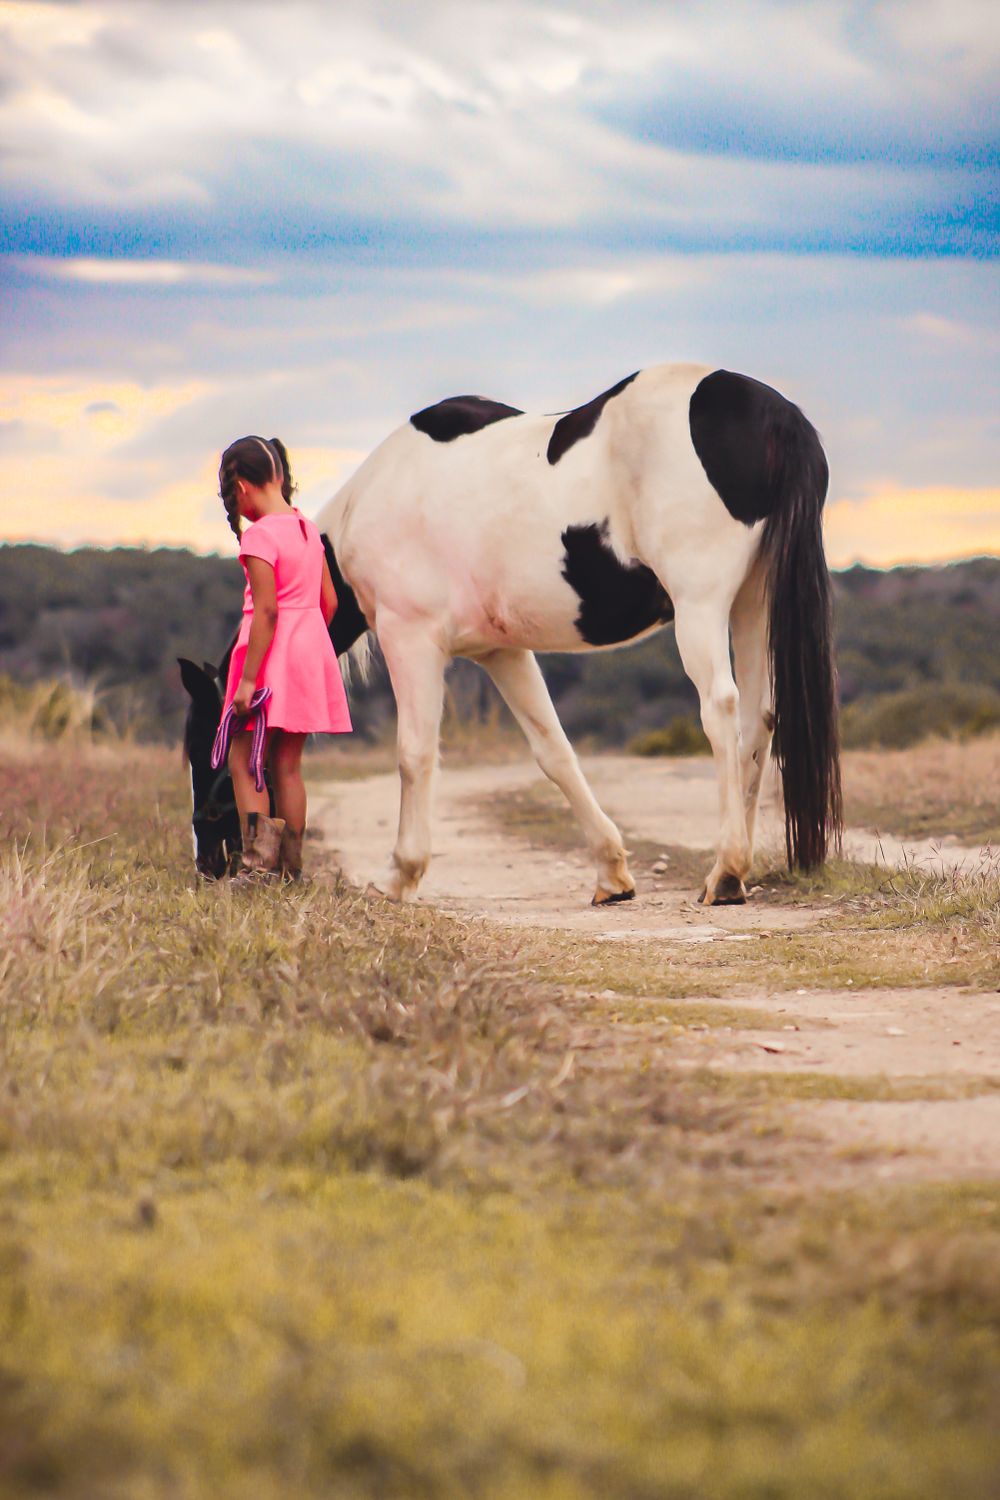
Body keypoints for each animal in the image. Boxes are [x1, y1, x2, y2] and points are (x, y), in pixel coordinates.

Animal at [314, 362, 841, 906]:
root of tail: (774, 413)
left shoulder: (411, 637)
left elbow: (413, 754)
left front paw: (400, 874)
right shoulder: (502, 652)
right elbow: (555, 752)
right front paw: (612, 873)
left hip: (703, 605)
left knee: (720, 710)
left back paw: (727, 871)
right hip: (753, 602)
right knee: (760, 719)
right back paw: (737, 871)